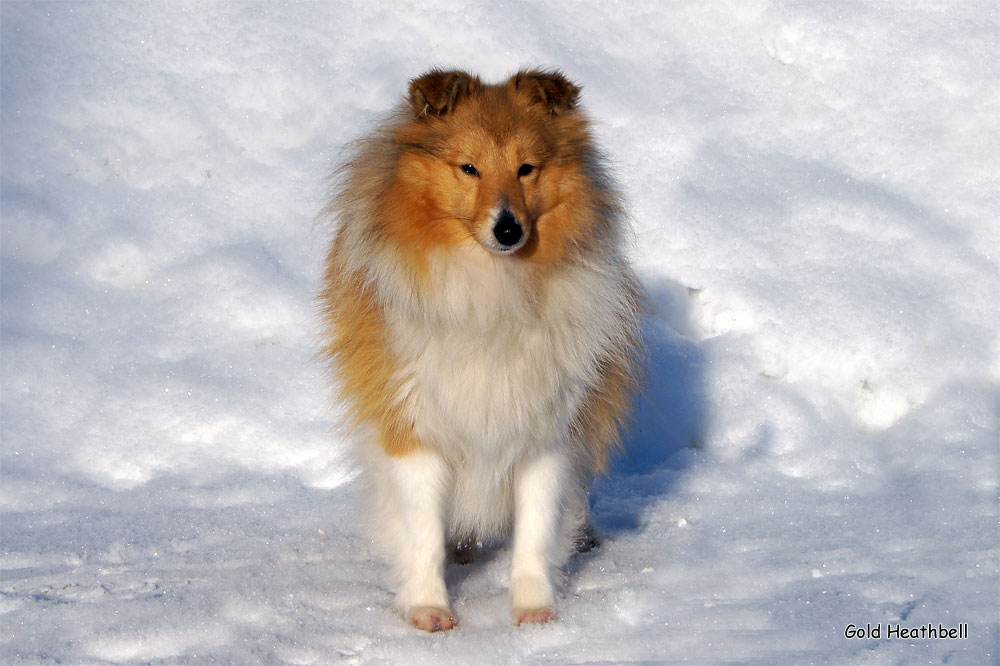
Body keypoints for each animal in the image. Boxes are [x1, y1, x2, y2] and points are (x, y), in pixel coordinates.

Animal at [324, 70, 644, 632]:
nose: (508, 229)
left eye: (527, 168)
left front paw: (534, 610)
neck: (492, 294)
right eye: (468, 168)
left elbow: (536, 531)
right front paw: (429, 608)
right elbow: (424, 532)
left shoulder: (547, 430)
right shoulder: (414, 424)